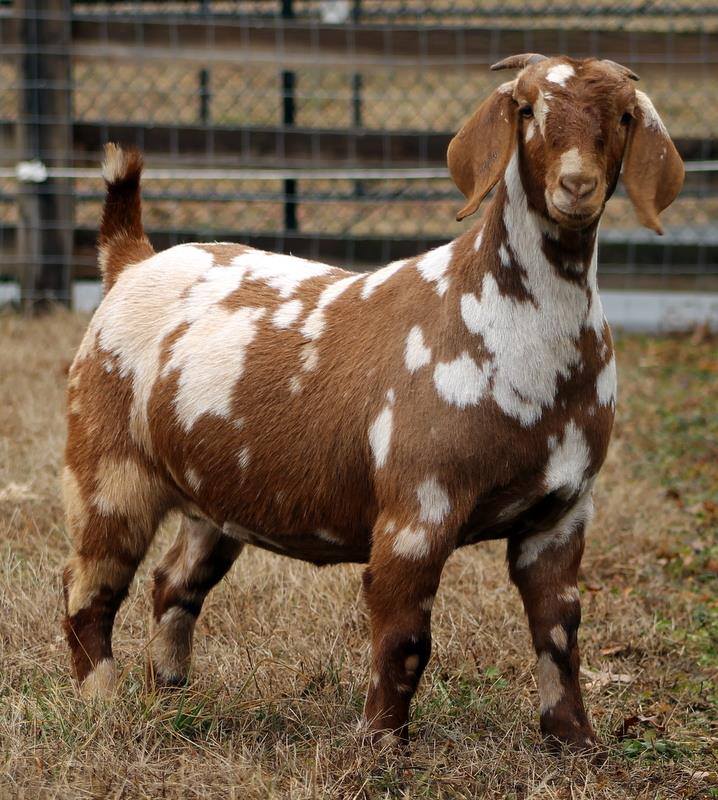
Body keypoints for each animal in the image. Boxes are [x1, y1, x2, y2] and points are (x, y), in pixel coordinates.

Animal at [62, 54, 683, 752]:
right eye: (526, 110)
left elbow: (558, 630)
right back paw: (104, 701)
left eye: (624, 116)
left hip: (213, 499)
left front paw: (574, 742)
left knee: (174, 582)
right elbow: (405, 637)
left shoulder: (564, 511)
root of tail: (130, 262)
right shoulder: (417, 506)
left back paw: (169, 690)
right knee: (88, 585)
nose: (576, 185)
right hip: (107, 466)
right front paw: (381, 745)